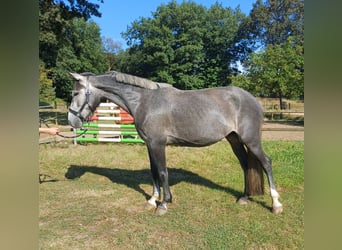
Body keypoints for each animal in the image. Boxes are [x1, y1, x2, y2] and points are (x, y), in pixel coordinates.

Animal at [67, 72, 284, 215]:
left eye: (75, 94)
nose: (72, 121)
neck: (145, 101)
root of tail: (253, 99)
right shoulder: (149, 144)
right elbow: (154, 172)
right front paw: (152, 200)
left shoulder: (158, 144)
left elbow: (163, 172)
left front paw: (164, 204)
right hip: (234, 140)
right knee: (246, 165)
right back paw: (244, 197)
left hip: (251, 140)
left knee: (266, 163)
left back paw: (275, 204)